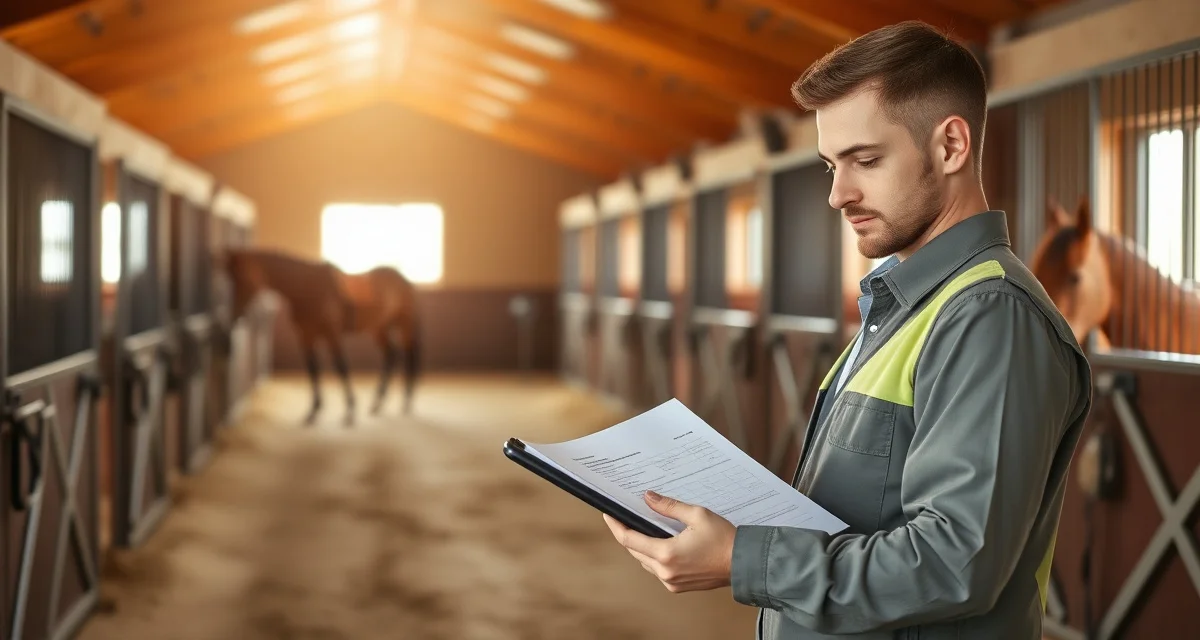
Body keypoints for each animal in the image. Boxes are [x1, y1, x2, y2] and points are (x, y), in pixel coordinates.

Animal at [220, 248, 422, 426]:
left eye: (242, 279)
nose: (235, 315)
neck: (309, 288)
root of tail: (404, 280)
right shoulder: (306, 336)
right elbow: (313, 368)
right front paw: (314, 410)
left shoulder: (332, 334)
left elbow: (341, 366)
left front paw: (350, 410)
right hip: (378, 327)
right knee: (392, 354)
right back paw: (378, 403)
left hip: (404, 325)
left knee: (409, 355)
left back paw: (406, 401)